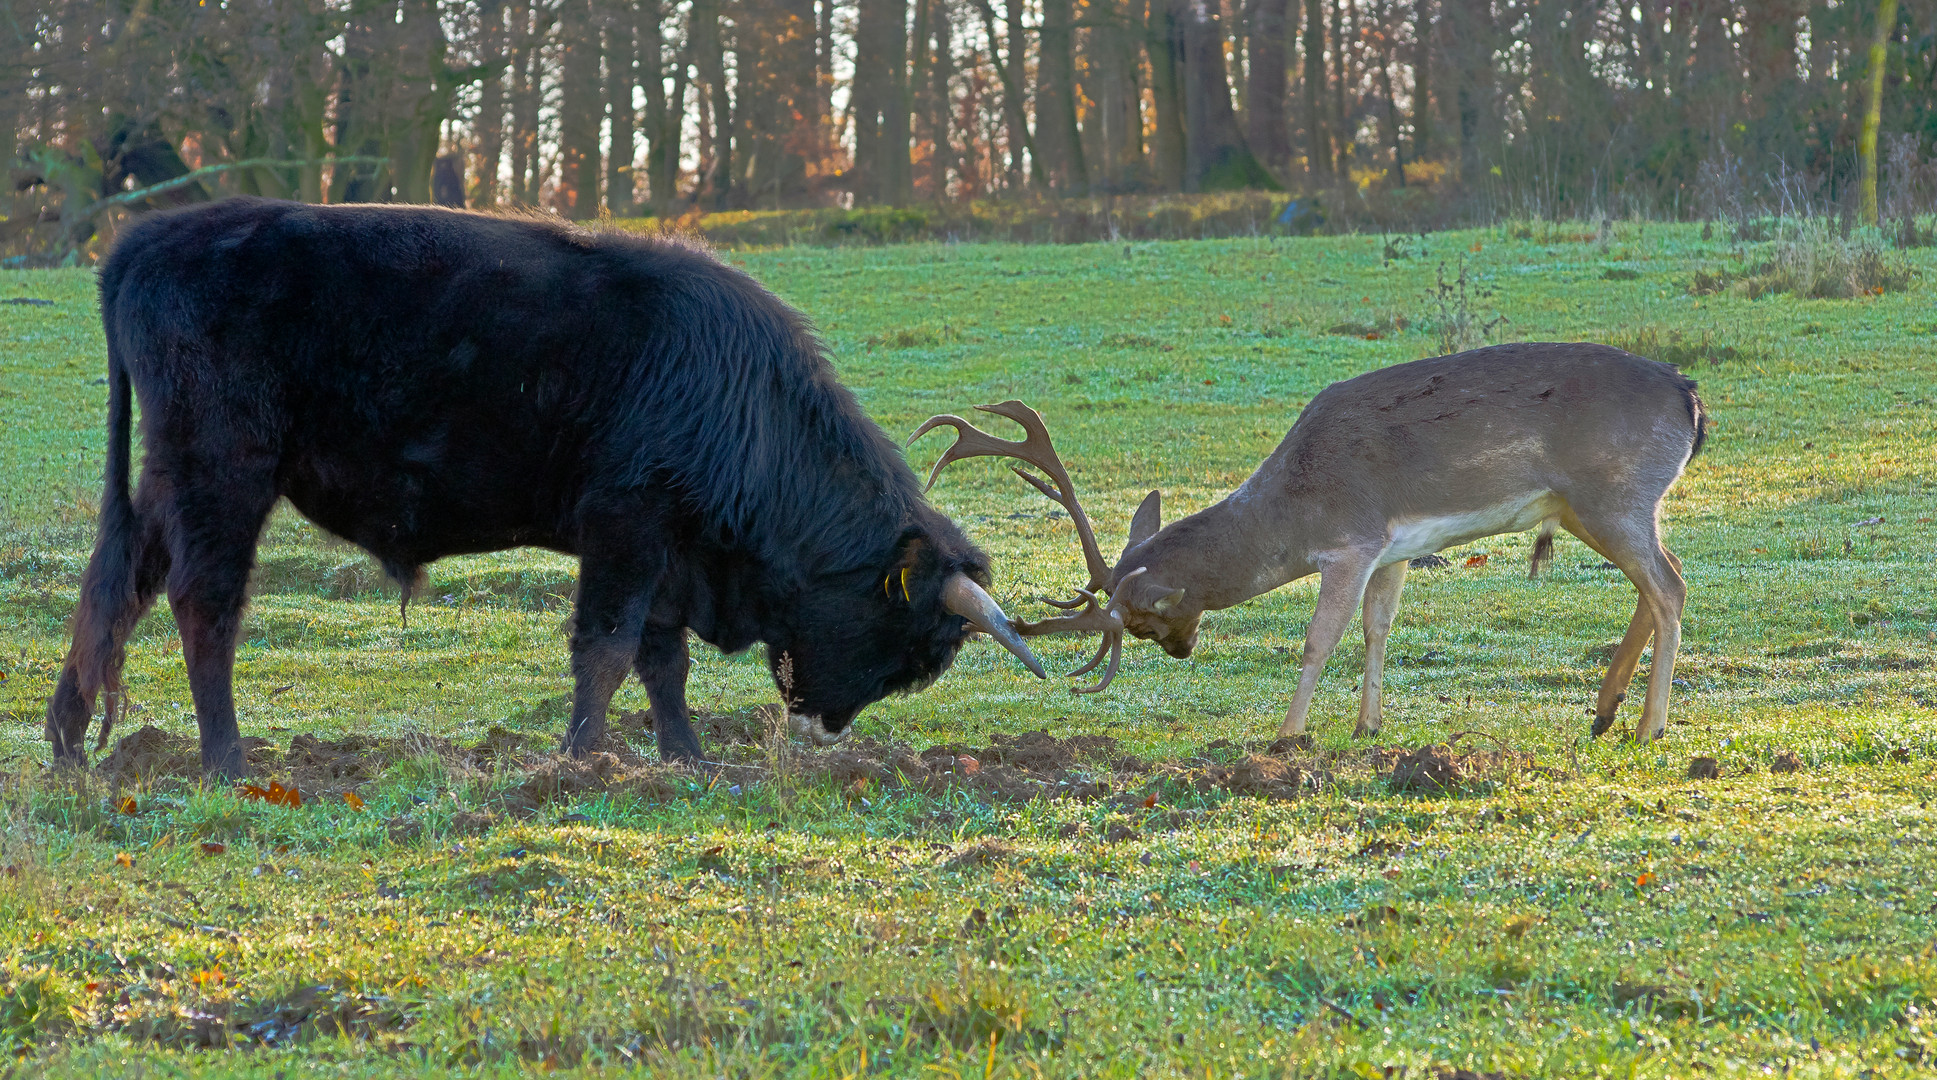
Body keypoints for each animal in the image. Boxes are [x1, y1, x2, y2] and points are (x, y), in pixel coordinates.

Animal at [45, 199, 1045, 778]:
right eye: (917, 645)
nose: (823, 719)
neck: (743, 396)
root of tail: (140, 243)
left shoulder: (665, 552)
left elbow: (660, 659)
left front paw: (685, 757)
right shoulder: (626, 529)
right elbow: (605, 647)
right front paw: (580, 758)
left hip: (164, 482)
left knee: (115, 588)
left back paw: (66, 743)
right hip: (224, 474)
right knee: (202, 602)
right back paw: (226, 759)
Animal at [910, 346, 1712, 743]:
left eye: (1139, 620)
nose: (1183, 650)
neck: (1292, 511)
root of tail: (1692, 397)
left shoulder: (1350, 540)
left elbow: (1319, 638)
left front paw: (1287, 735)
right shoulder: (1392, 547)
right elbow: (1377, 629)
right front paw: (1366, 726)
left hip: (1612, 493)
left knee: (1670, 585)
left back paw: (1650, 726)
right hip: (1596, 507)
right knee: (1658, 582)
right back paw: (1605, 711)